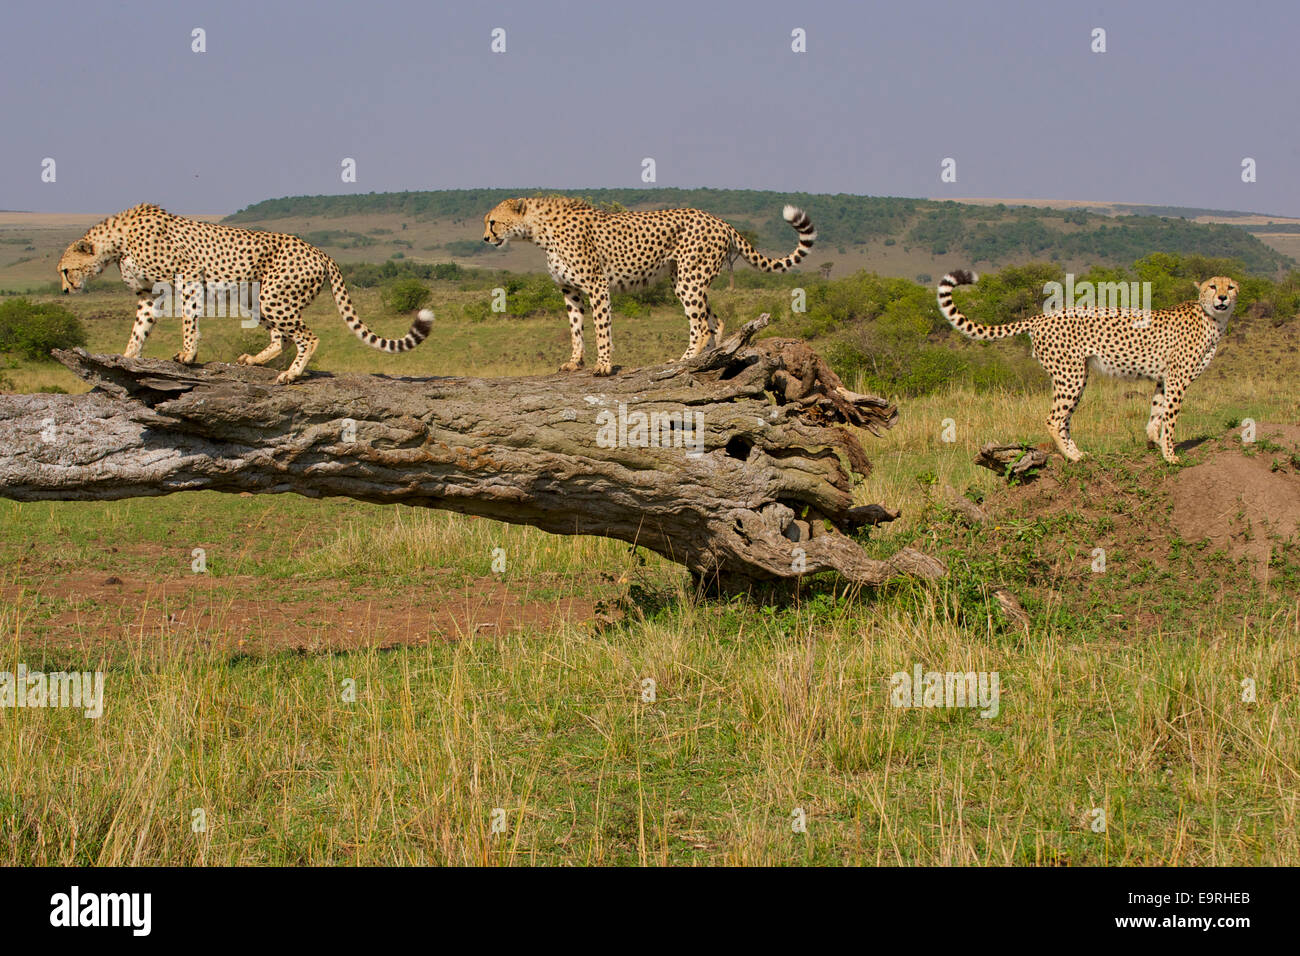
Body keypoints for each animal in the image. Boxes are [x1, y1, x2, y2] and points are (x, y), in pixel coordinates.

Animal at [58, 204, 434, 382]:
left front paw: (187, 355)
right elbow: (140, 329)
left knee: (307, 337)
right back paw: (255, 360)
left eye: (64, 269)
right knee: (281, 338)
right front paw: (128, 357)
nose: (64, 289)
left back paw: (291, 374)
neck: (116, 244)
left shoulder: (189, 275)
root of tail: (319, 250)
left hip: (274, 296)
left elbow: (189, 321)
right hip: (255, 298)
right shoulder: (150, 293)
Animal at [483, 196, 816, 374]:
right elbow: (576, 330)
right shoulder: (571, 291)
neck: (537, 231)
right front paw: (575, 362)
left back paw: (686, 359)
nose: (485, 238)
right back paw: (709, 357)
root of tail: (718, 219)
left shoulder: (597, 285)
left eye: (492, 221)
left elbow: (601, 329)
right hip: (684, 279)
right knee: (715, 320)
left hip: (689, 278)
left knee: (700, 324)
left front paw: (603, 365)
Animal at [935, 269, 1237, 463]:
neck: (1212, 318)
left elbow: (1157, 412)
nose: (1223, 298)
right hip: (1072, 375)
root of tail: (1042, 316)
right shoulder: (1177, 380)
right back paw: (1072, 456)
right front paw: (1171, 455)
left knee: (1064, 419)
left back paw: (1077, 452)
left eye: (1230, 287)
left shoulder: (1164, 379)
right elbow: (1170, 419)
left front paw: (1153, 441)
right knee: (1054, 419)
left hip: (1074, 376)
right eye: (1213, 286)